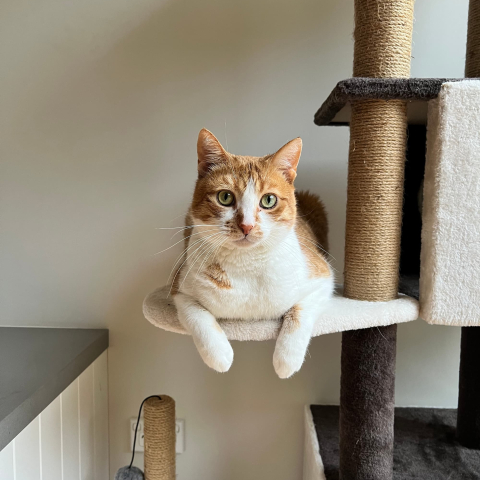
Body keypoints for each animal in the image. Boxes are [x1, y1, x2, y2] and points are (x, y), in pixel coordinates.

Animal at [172, 129, 334, 376]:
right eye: (225, 197)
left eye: (269, 200)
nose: (246, 226)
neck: (246, 263)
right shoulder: (180, 290)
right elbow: (197, 315)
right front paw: (220, 355)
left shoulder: (322, 279)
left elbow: (299, 313)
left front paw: (286, 360)